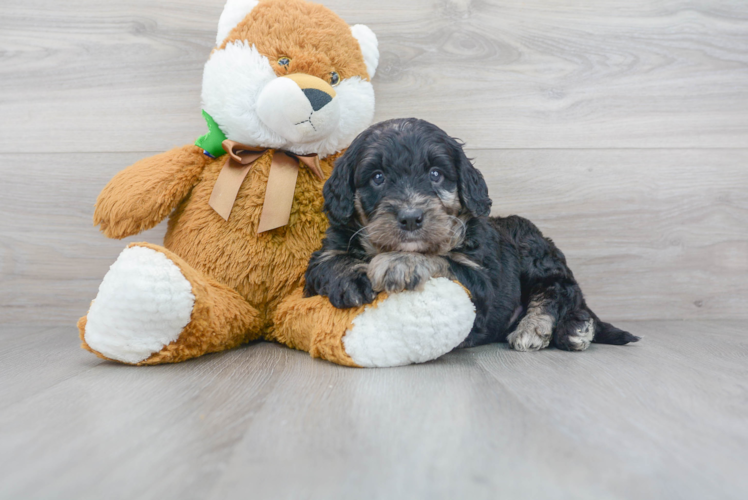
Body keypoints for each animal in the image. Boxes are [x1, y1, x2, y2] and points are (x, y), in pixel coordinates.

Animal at [304, 118, 636, 352]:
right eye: (377, 177)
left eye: (435, 174)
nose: (410, 217)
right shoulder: (323, 255)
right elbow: (328, 262)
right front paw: (351, 278)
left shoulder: (482, 281)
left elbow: (446, 261)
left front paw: (402, 262)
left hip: (533, 248)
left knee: (561, 290)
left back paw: (552, 329)